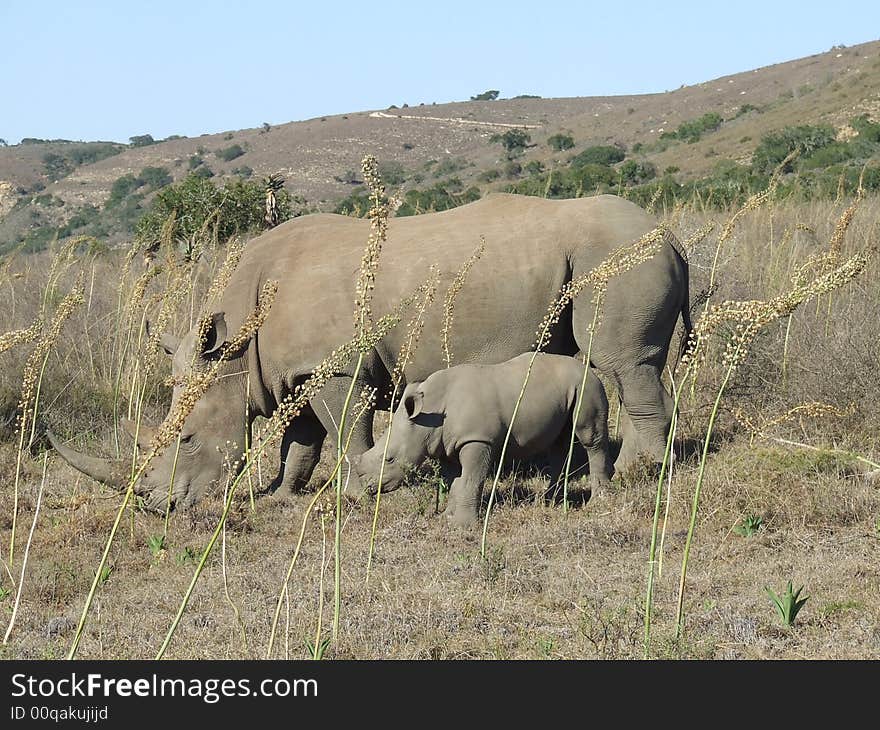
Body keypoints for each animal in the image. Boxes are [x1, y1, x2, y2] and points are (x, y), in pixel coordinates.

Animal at [356, 352, 612, 524]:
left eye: (389, 459)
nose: (367, 486)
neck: (429, 413)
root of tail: (587, 366)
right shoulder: (446, 444)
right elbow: (454, 481)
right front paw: (447, 517)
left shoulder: (478, 439)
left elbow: (471, 479)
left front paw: (463, 526)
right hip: (567, 390)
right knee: (559, 443)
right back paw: (550, 501)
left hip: (587, 385)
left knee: (590, 439)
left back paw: (598, 502)